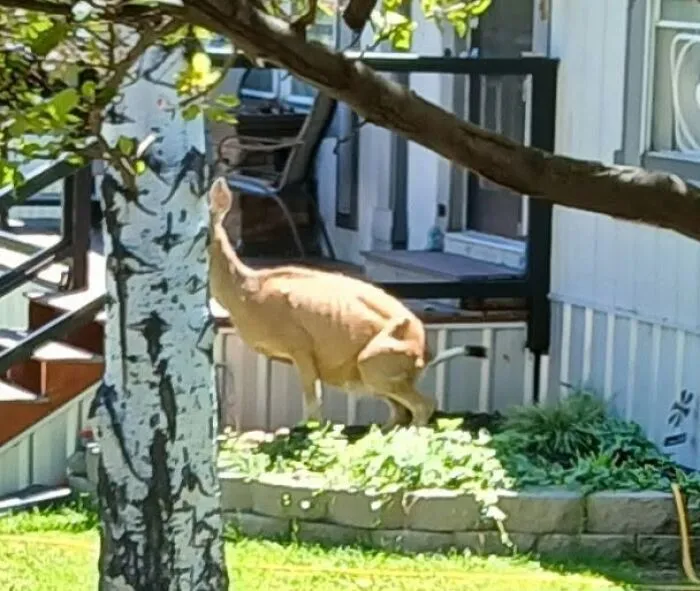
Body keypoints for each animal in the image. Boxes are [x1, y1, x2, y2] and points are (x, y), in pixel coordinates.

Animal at [207, 177, 488, 431]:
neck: (246, 292)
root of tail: (425, 355)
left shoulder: (301, 346)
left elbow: (313, 407)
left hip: (374, 363)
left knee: (423, 406)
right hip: (371, 376)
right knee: (399, 413)